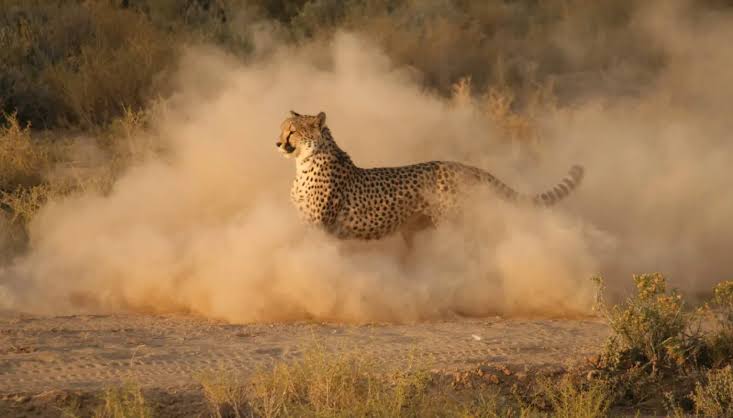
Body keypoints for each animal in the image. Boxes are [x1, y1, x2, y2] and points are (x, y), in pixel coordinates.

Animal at [275, 110, 584, 243]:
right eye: (282, 129)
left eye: (292, 131)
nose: (278, 143)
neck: (305, 161)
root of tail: (460, 165)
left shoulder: (317, 226)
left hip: (452, 223)